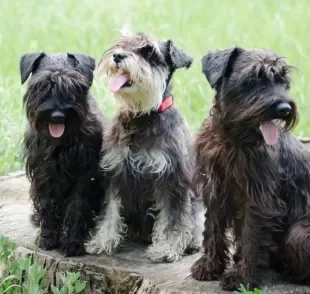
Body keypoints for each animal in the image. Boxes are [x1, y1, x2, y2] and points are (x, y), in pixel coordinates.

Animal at [20, 52, 106, 258]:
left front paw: (73, 242)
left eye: (74, 86)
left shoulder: (85, 175)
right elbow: (47, 205)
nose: (57, 115)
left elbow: (77, 207)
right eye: (41, 86)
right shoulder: (44, 175)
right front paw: (47, 238)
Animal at [86, 28, 205, 262]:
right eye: (121, 43)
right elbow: (110, 212)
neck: (141, 116)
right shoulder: (115, 172)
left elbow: (172, 218)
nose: (118, 56)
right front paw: (102, 241)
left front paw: (166, 248)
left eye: (149, 52)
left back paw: (192, 243)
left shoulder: (171, 179)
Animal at [190, 47, 310, 290]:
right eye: (254, 79)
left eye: (282, 81)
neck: (231, 138)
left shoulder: (257, 199)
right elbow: (212, 231)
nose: (284, 109)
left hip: (299, 232)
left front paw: (243, 278)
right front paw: (209, 266)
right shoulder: (214, 189)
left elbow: (251, 237)